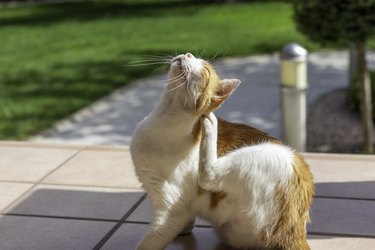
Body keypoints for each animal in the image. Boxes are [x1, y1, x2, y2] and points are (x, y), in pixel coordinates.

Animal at [129, 51, 314, 249]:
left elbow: (149, 242)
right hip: (230, 233)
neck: (163, 119)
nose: (188, 54)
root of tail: (297, 228)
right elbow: (186, 221)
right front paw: (185, 230)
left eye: (205, 70)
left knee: (208, 175)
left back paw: (211, 124)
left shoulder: (171, 210)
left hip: (256, 156)